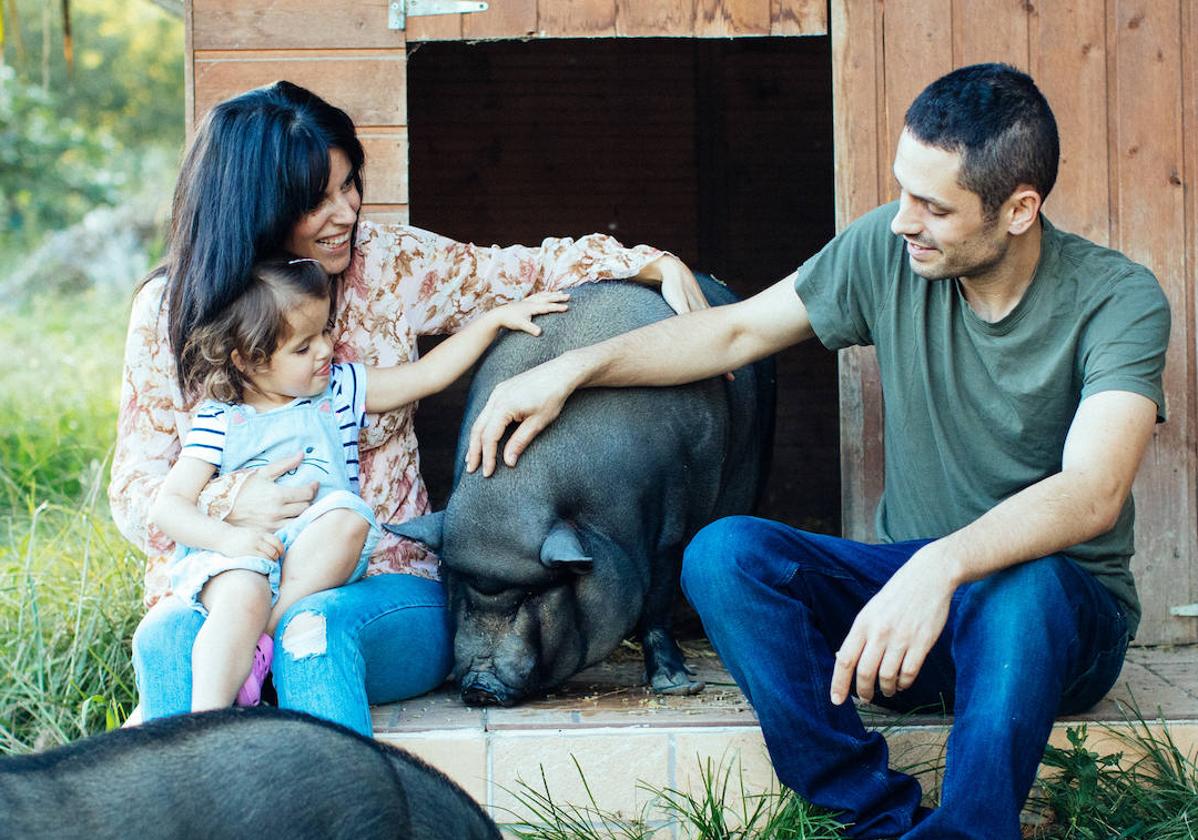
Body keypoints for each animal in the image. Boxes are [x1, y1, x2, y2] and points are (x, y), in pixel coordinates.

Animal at [388, 278, 771, 704]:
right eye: (456, 580)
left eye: (533, 595)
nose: (481, 685)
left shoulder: (670, 528)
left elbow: (657, 605)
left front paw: (680, 686)